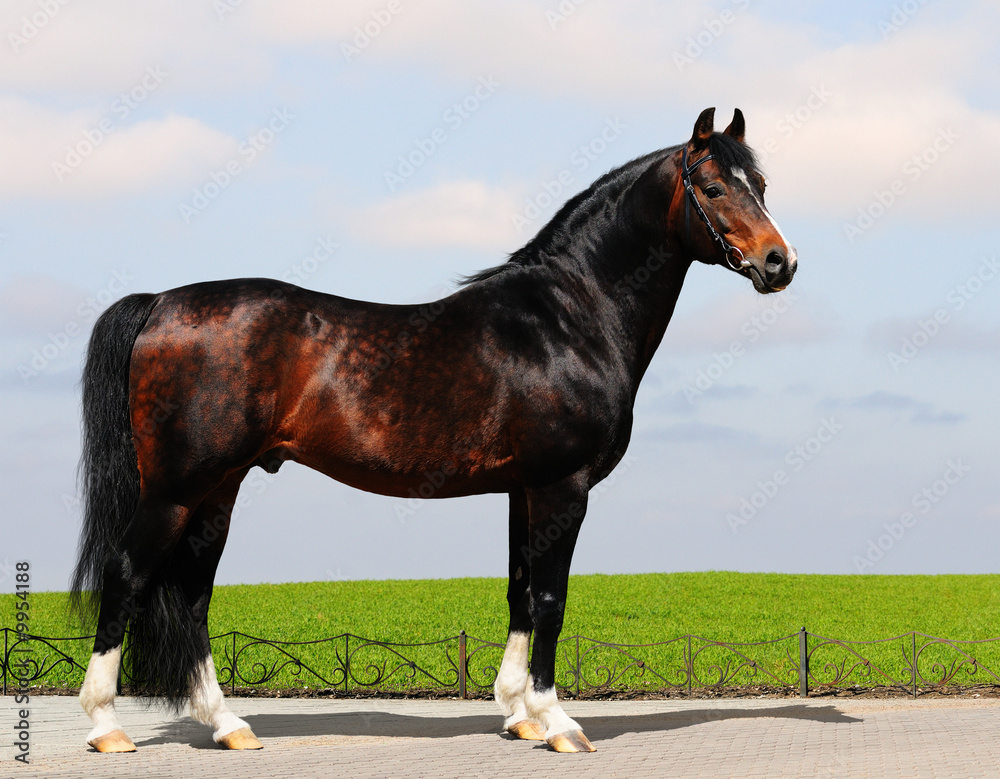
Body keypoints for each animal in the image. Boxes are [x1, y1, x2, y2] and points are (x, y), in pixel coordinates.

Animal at [71, 107, 796, 754]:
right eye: (712, 187)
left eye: (761, 184)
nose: (779, 262)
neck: (565, 319)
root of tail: (161, 303)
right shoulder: (562, 486)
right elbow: (551, 597)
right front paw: (559, 723)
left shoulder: (523, 490)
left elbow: (519, 591)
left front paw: (518, 715)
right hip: (175, 489)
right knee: (128, 574)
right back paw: (107, 726)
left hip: (217, 489)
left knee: (192, 593)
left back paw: (229, 725)